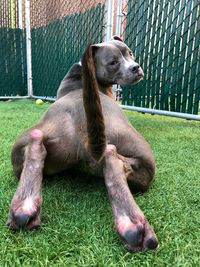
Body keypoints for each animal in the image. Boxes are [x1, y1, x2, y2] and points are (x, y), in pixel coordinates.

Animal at [7, 36, 159, 252]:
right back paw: (133, 226)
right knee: (113, 158)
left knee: (35, 144)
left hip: (26, 142)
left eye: (130, 53)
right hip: (144, 158)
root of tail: (82, 137)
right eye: (113, 62)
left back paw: (23, 208)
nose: (135, 67)